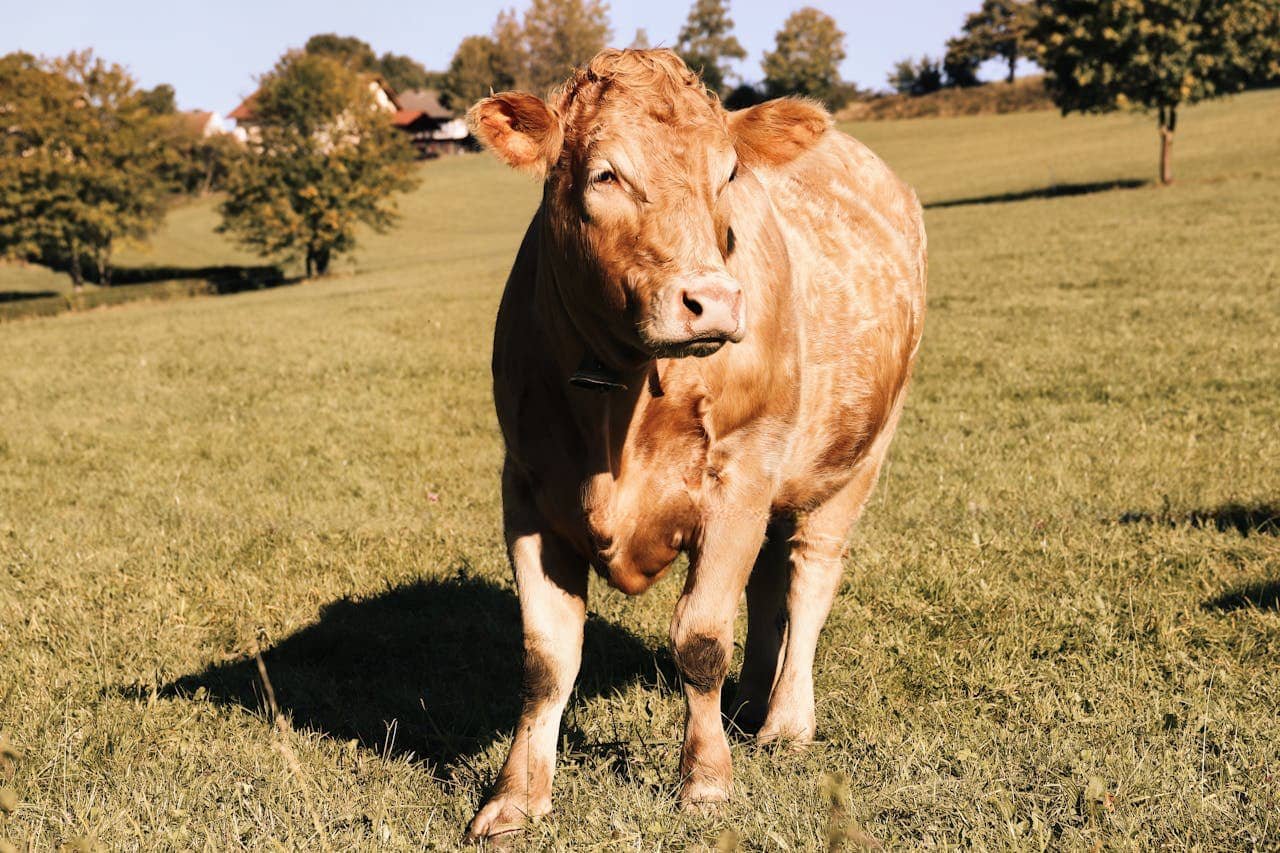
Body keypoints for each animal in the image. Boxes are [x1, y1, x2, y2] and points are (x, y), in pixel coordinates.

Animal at [464, 49, 926, 841]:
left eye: (728, 174)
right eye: (605, 175)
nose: (712, 301)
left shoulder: (737, 476)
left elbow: (701, 638)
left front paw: (706, 779)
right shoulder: (526, 487)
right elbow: (546, 657)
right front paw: (515, 796)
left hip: (861, 453)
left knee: (810, 575)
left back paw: (785, 722)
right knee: (770, 581)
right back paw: (751, 701)